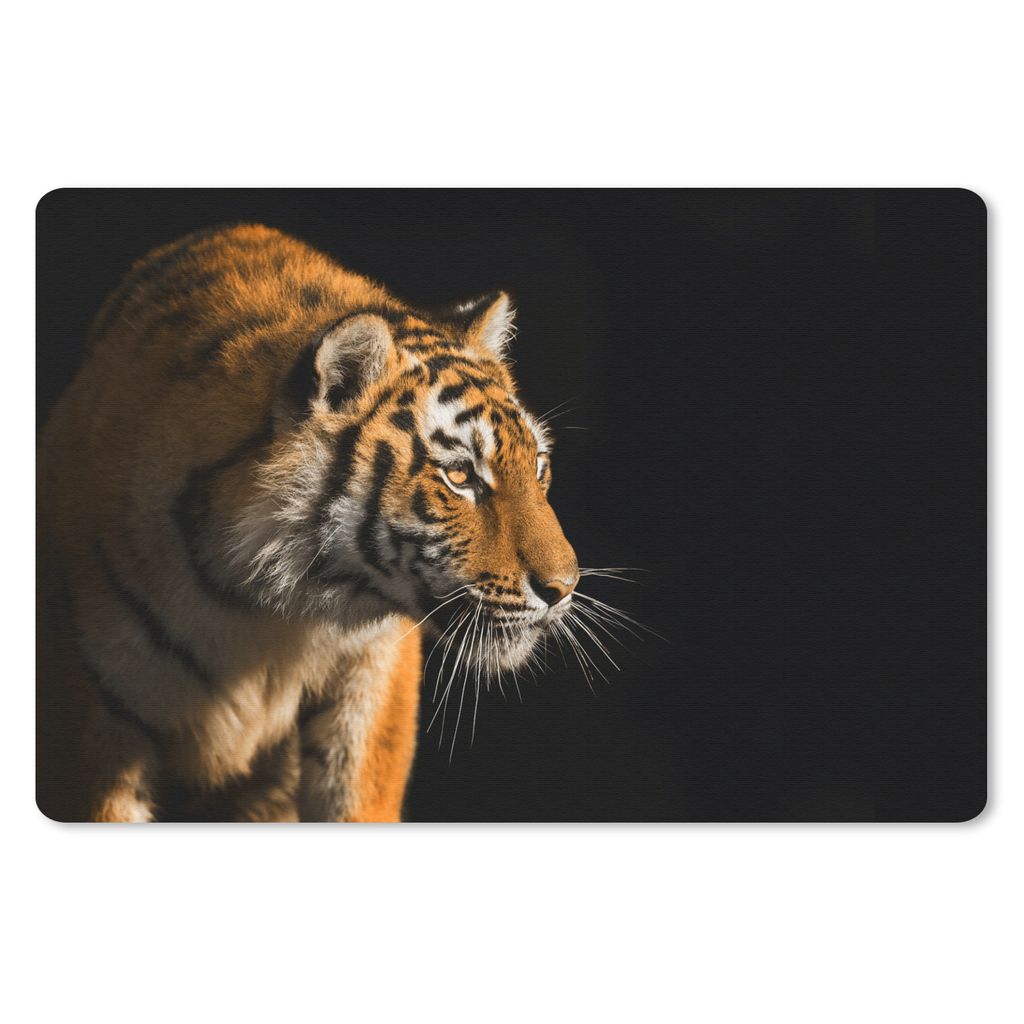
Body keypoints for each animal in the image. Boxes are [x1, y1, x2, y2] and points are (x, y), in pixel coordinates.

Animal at [36, 223, 579, 822]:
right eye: (459, 476)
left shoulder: (373, 674)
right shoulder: (89, 710)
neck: (261, 604)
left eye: (538, 466)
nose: (564, 589)